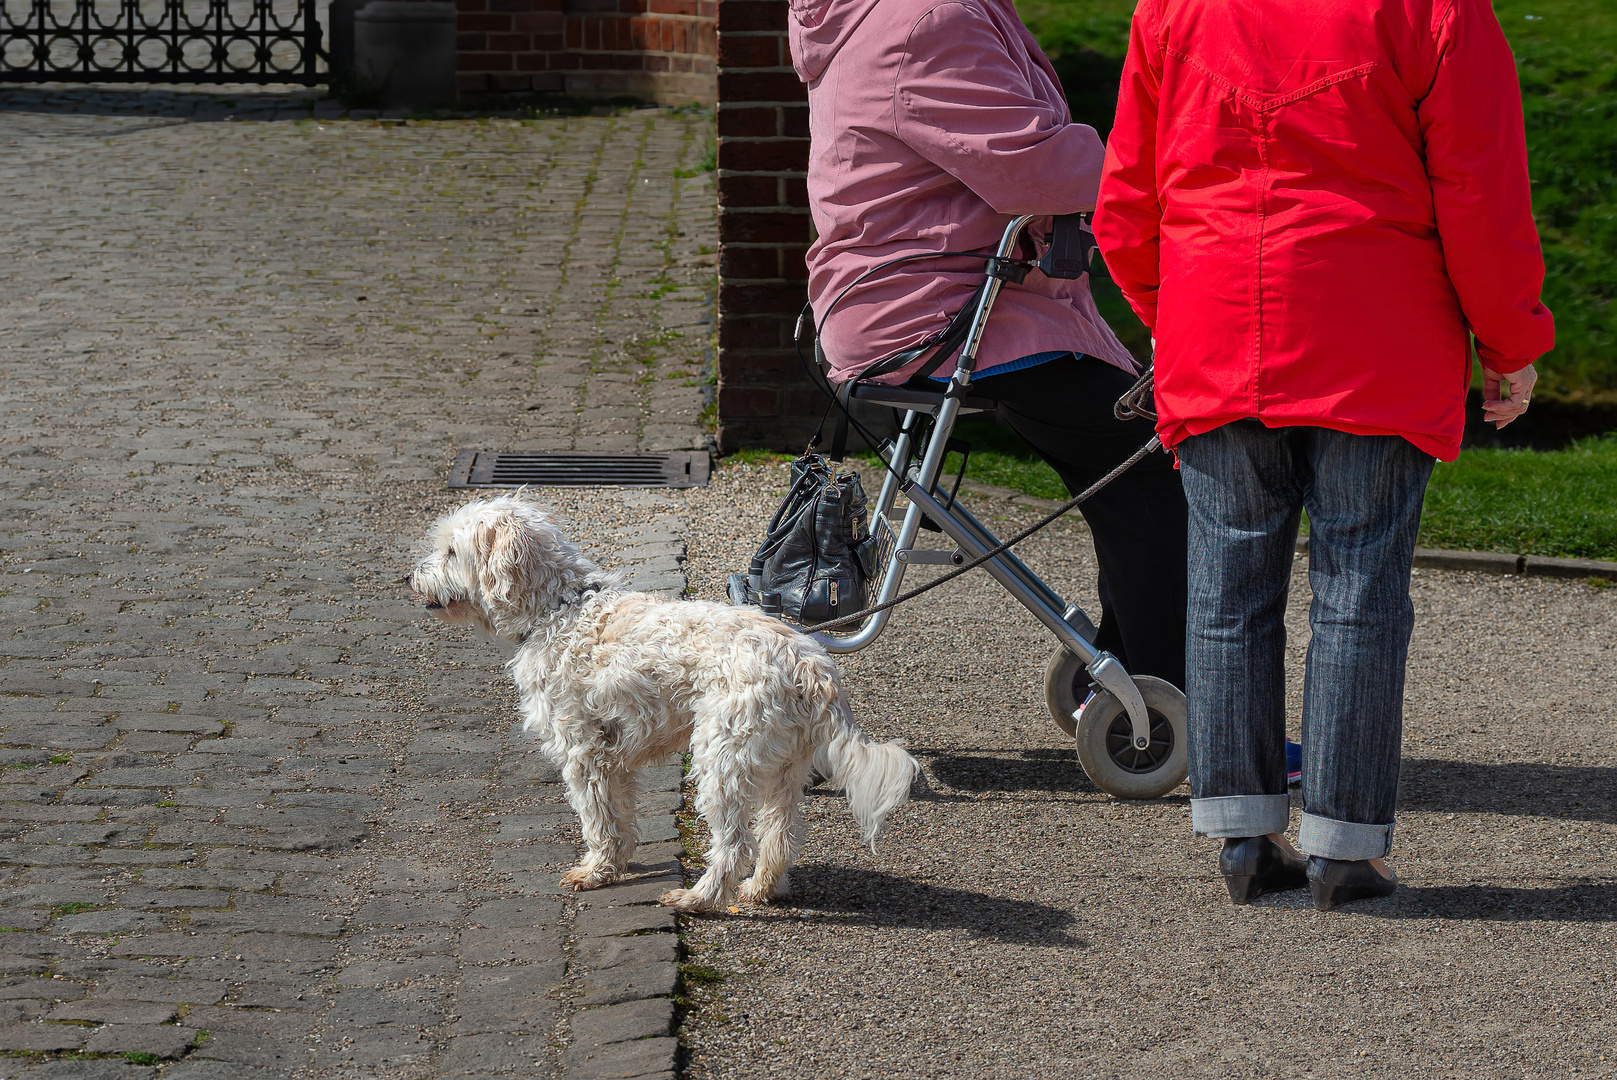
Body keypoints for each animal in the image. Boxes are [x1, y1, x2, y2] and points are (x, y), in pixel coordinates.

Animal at [404, 497, 924, 911]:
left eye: (451, 551)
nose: (410, 577)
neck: (561, 611)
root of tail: (808, 662)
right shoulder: (613, 757)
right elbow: (618, 816)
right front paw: (614, 864)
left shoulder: (582, 752)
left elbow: (598, 819)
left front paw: (595, 871)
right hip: (782, 770)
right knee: (780, 837)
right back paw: (760, 890)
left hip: (722, 763)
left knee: (734, 845)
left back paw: (699, 898)